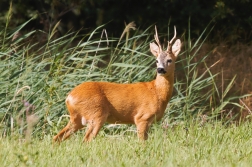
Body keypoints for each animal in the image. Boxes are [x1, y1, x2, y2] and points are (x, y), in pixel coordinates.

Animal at [53, 26, 181, 142]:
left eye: (169, 60)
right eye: (156, 60)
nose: (160, 69)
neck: (157, 92)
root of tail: (69, 98)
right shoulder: (141, 118)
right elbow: (142, 142)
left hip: (77, 118)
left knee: (57, 137)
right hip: (96, 114)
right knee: (86, 140)